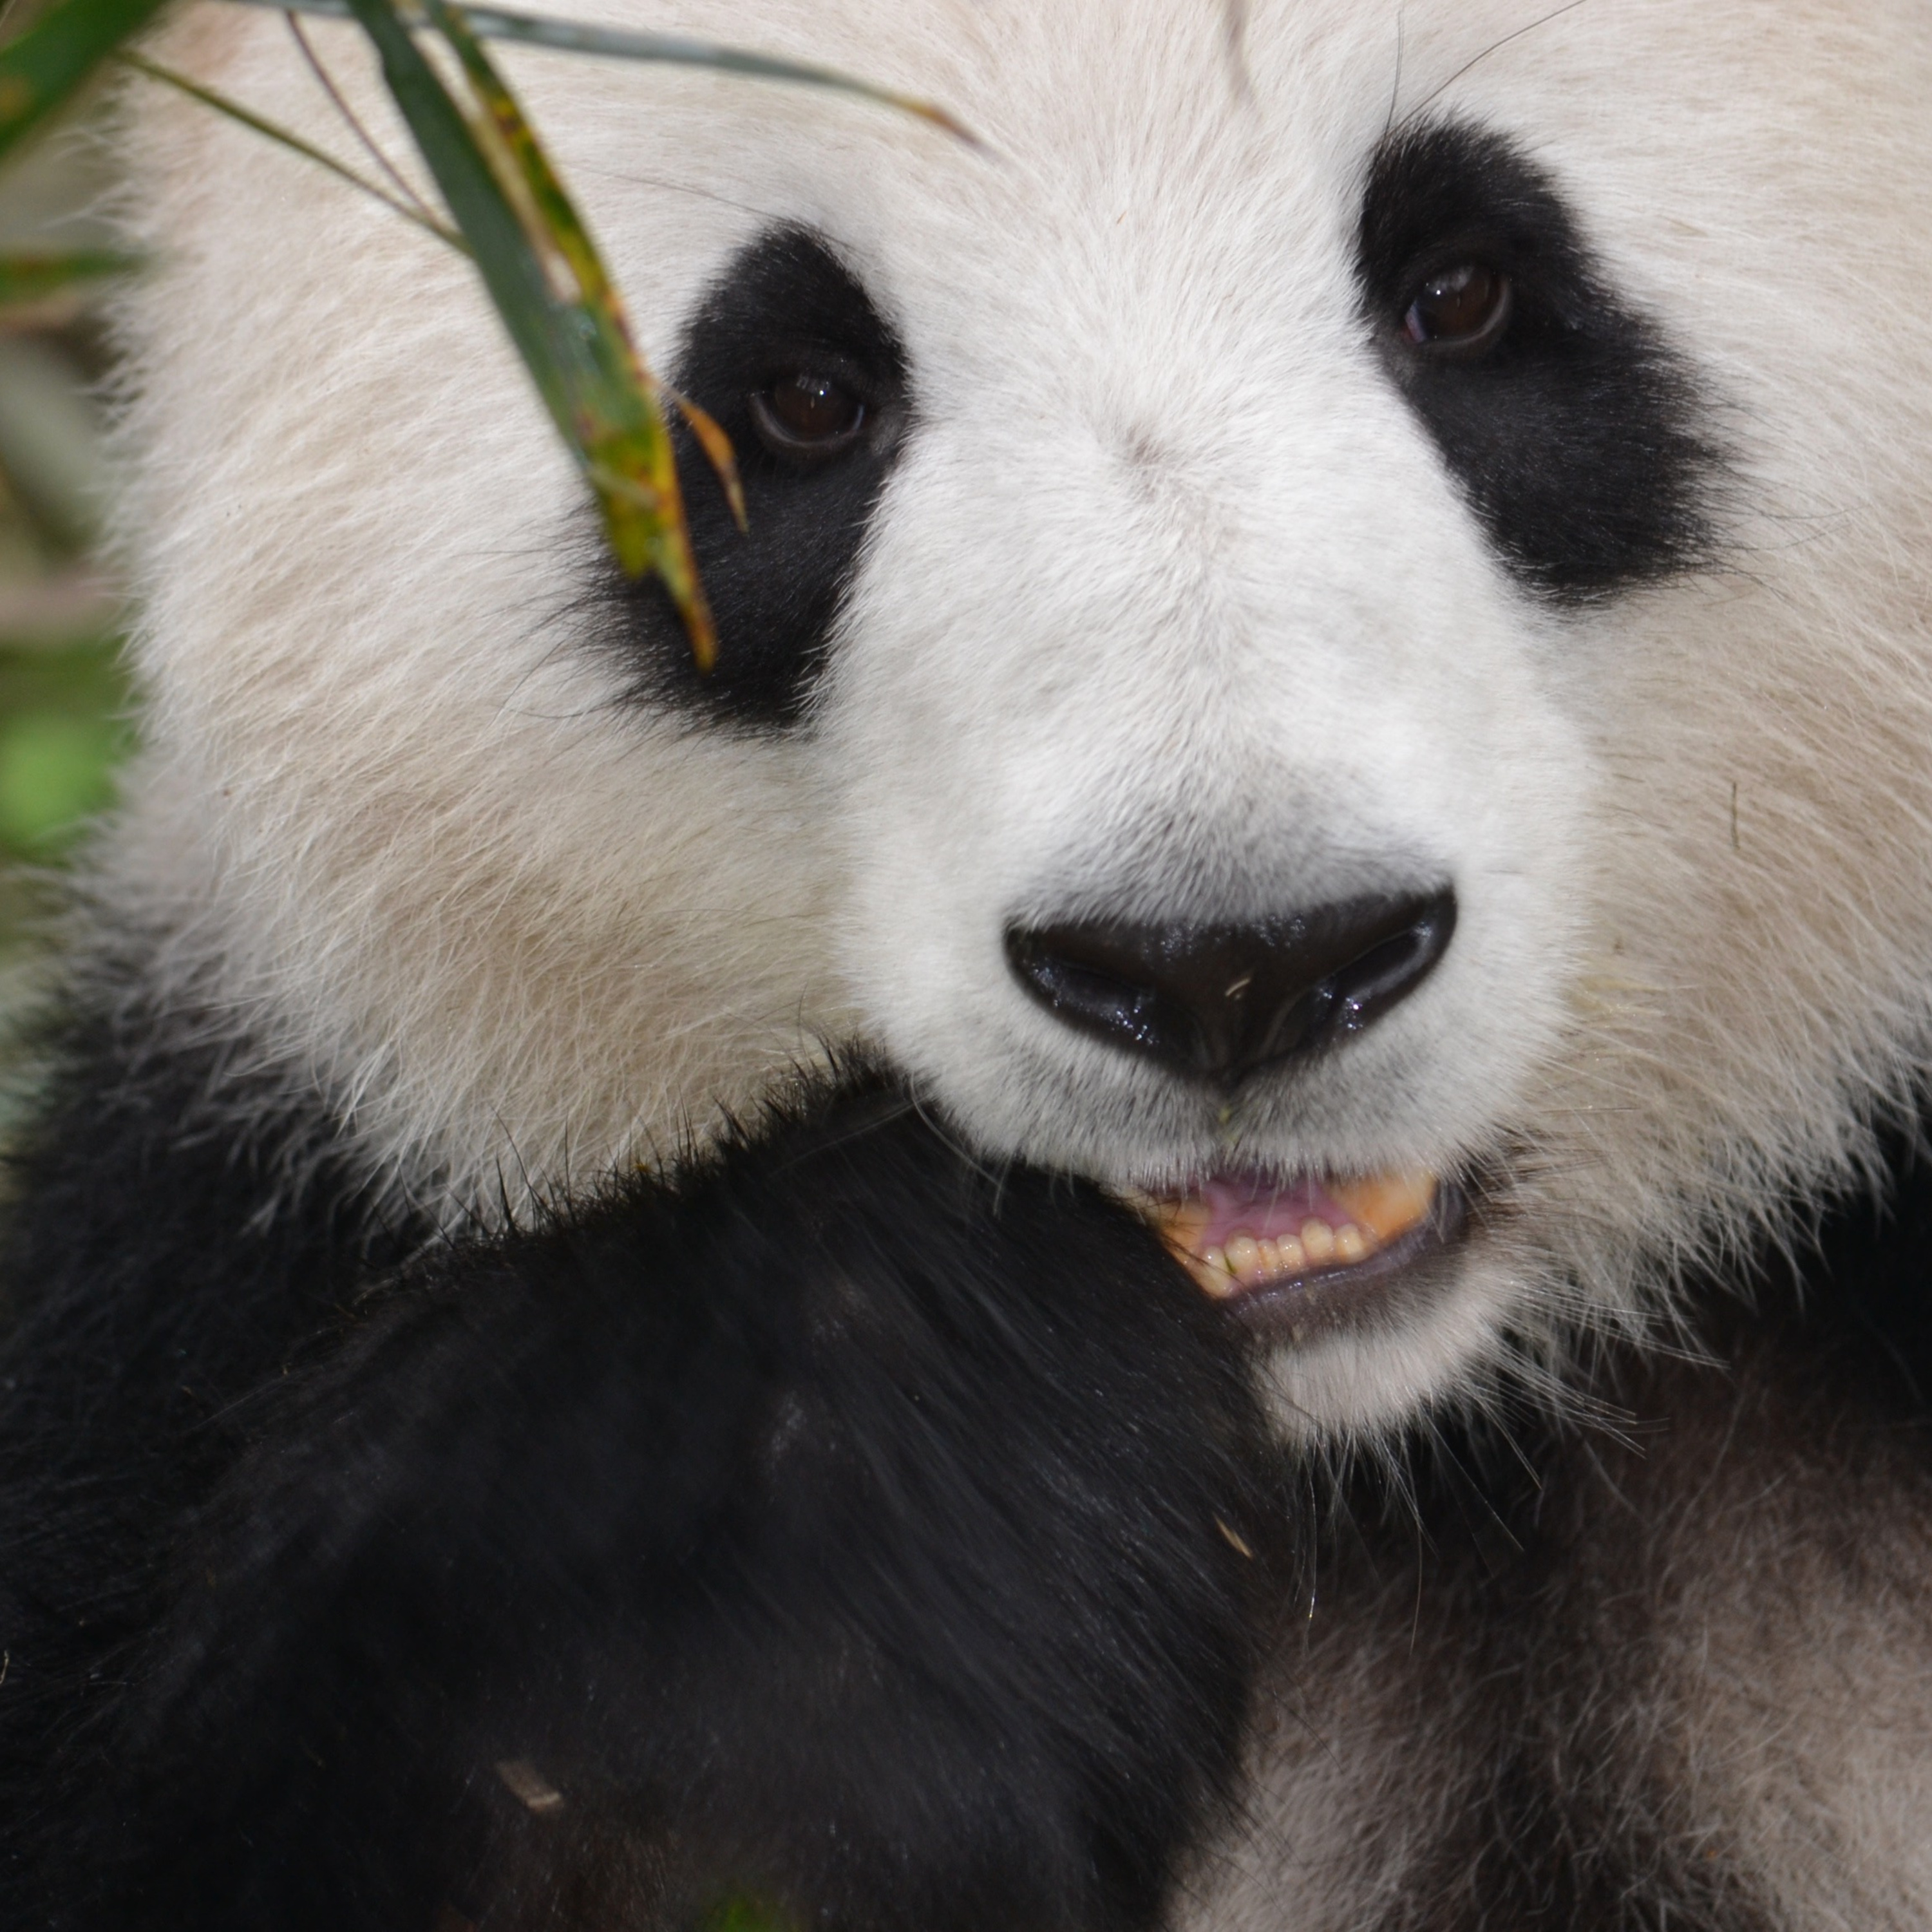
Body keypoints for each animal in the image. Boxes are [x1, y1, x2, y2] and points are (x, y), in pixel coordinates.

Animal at [3, 0, 1932, 1926]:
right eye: (800, 396)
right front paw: (858, 1508)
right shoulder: (195, 1270)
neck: (1415, 1434)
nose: (1237, 965)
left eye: (1460, 290)